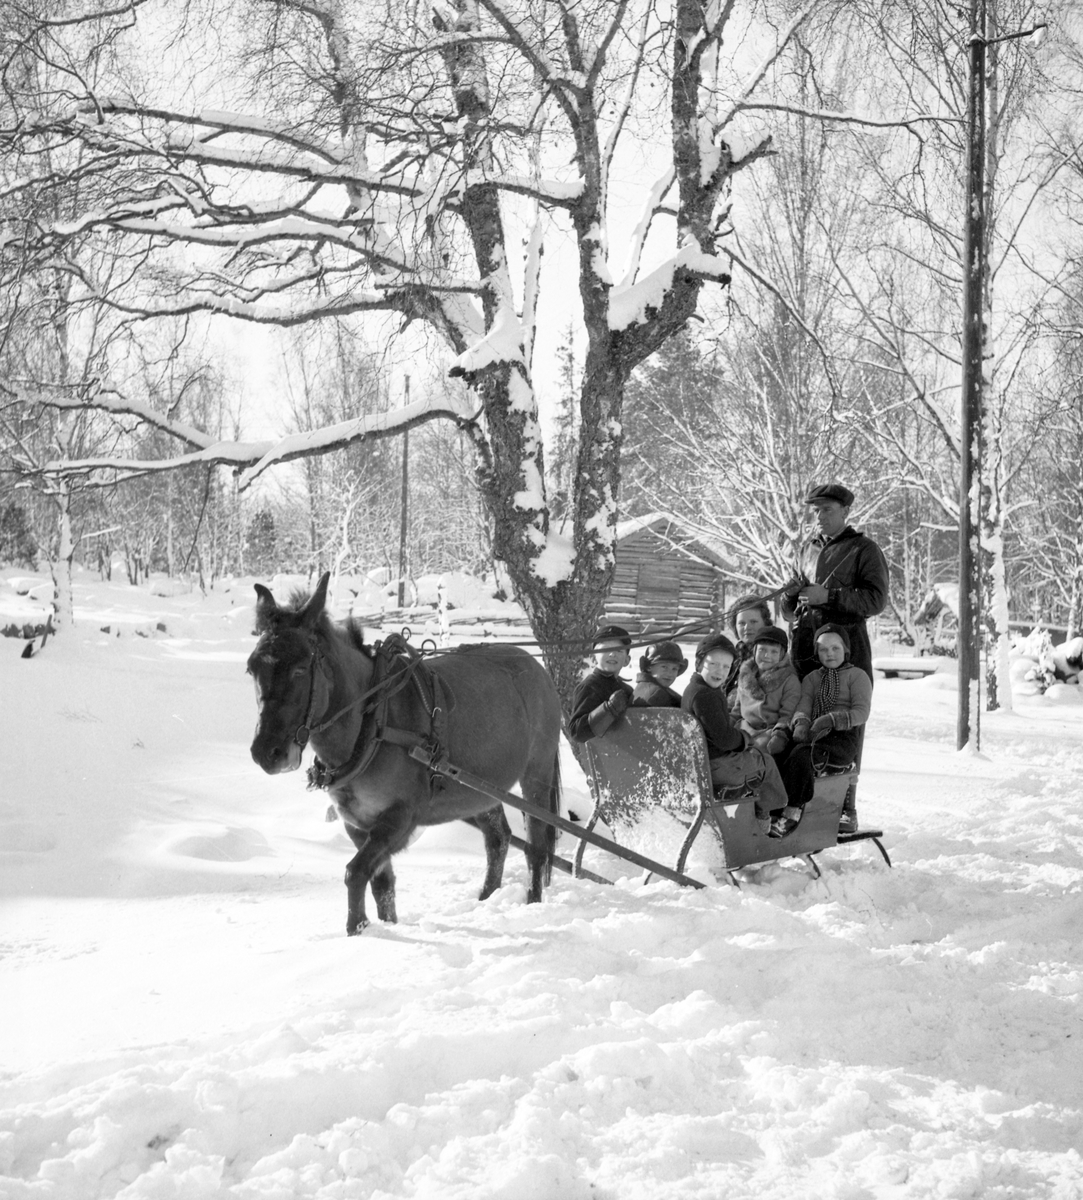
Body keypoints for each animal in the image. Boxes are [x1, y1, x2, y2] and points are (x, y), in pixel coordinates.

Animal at [248, 573, 564, 936]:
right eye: (252, 669)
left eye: (301, 669)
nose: (267, 753)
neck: (371, 724)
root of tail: (533, 664)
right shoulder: (357, 823)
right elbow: (381, 883)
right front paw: (382, 927)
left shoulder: (400, 816)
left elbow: (356, 872)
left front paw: (357, 929)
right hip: (480, 787)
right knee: (498, 839)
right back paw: (486, 899)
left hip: (537, 773)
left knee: (537, 846)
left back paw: (532, 902)